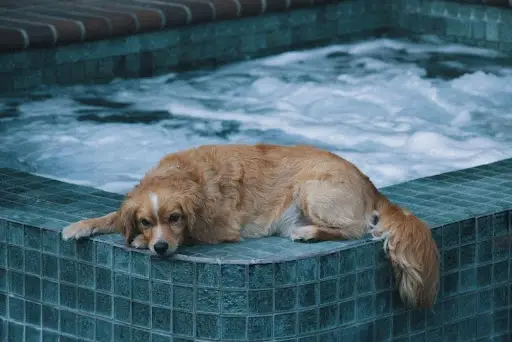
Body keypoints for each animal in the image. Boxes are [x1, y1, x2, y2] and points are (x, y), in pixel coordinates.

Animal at [62, 143, 440, 308]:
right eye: (145, 220)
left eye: (175, 219)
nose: (161, 246)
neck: (185, 176)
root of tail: (370, 184)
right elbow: (113, 216)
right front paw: (82, 225)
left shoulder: (219, 228)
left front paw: (141, 243)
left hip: (311, 189)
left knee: (354, 230)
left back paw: (308, 232)